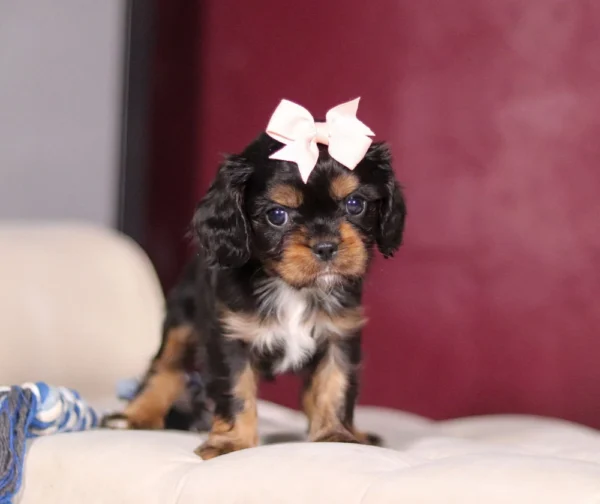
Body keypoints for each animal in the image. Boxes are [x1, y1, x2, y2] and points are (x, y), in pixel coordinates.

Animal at [105, 100, 408, 458]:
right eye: (277, 215)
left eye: (355, 204)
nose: (326, 246)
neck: (291, 288)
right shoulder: (229, 337)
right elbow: (236, 392)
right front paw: (231, 443)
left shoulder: (339, 334)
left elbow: (333, 386)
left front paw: (337, 436)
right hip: (182, 316)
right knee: (165, 367)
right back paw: (135, 415)